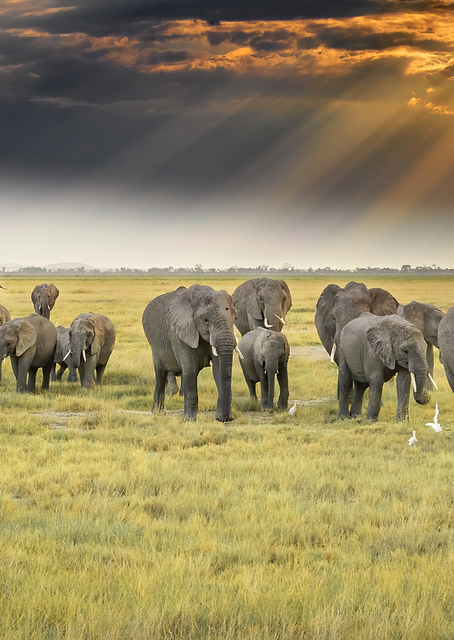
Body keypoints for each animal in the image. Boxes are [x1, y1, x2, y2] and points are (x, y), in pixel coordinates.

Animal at [142, 284, 237, 422]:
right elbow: (190, 368)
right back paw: (158, 413)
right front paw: (190, 420)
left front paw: (222, 417)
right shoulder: (179, 333)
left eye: (235, 318)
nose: (224, 419)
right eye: (206, 320)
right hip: (155, 347)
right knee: (160, 374)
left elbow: (218, 368)